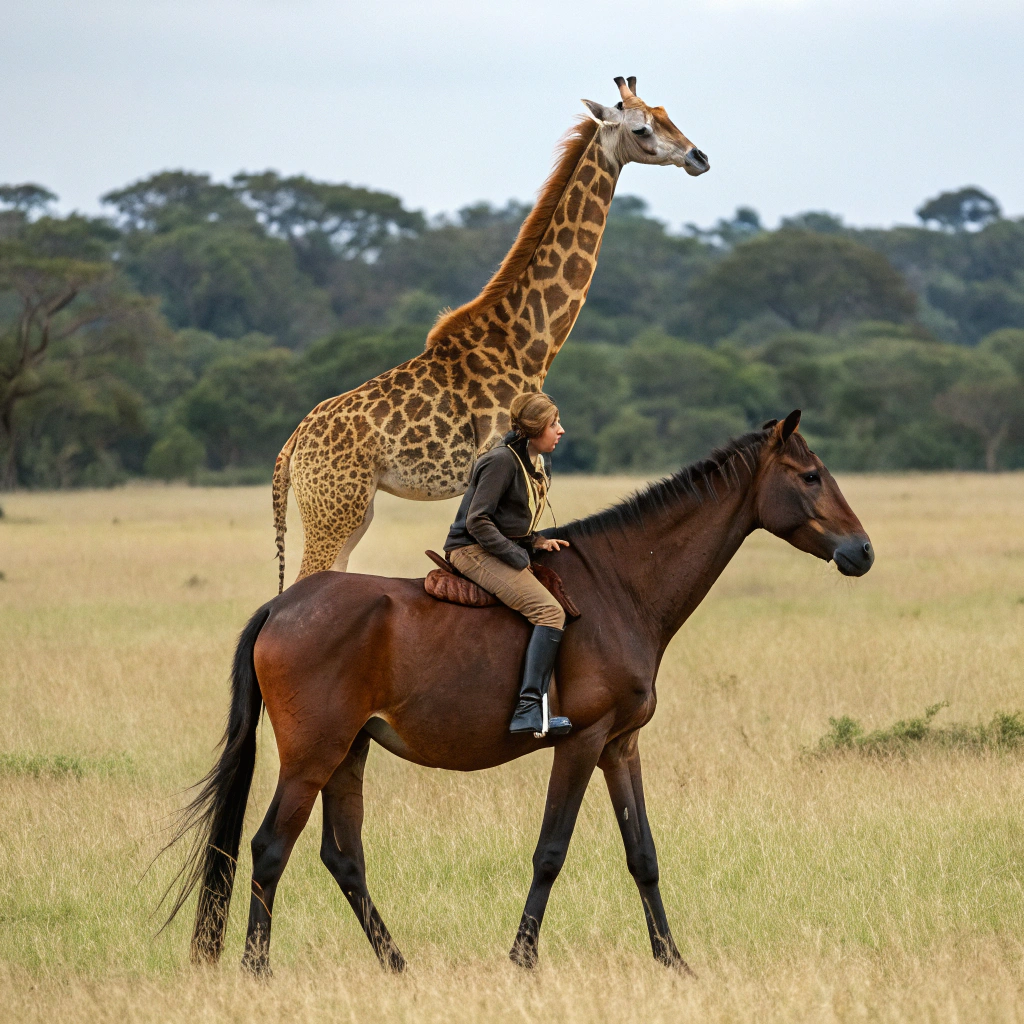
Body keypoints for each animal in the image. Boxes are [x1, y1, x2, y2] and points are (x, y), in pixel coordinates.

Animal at [164, 410, 873, 976]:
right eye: (811, 476)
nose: (863, 551)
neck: (620, 586)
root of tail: (284, 606)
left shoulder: (621, 746)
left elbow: (642, 854)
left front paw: (674, 961)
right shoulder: (582, 743)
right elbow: (551, 852)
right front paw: (522, 959)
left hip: (348, 754)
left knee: (343, 858)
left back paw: (397, 967)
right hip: (311, 757)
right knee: (268, 849)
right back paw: (259, 971)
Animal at [273, 77, 709, 589]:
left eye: (668, 115)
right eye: (642, 129)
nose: (699, 157)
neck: (528, 344)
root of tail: (292, 446)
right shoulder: (505, 458)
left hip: (355, 511)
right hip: (334, 508)